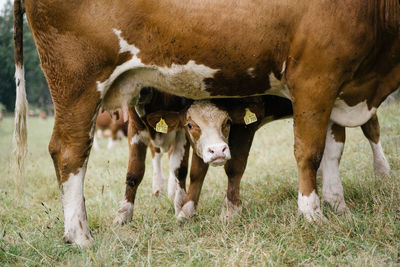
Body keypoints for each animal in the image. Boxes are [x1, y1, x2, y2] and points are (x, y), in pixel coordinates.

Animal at [14, 0, 398, 247]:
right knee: (69, 150)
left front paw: (338, 205)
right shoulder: (316, 78)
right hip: (77, 82)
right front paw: (312, 213)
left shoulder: (337, 89)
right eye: (192, 125)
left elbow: (332, 150)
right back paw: (80, 235)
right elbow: (309, 152)